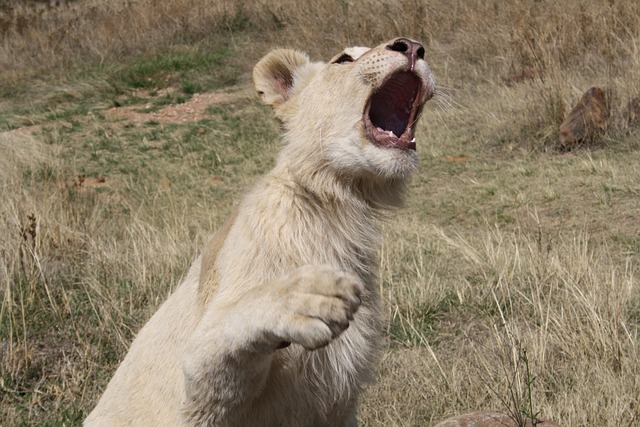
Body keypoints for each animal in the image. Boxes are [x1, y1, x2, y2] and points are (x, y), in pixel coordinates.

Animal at [85, 37, 436, 427]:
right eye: (343, 59)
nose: (412, 46)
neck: (337, 208)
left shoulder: (339, 405)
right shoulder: (196, 400)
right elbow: (222, 338)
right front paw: (308, 297)